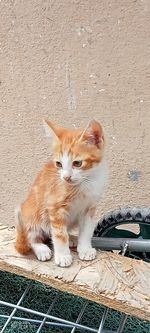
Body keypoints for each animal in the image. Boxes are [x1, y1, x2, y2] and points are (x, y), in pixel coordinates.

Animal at [15, 119, 108, 268]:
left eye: (77, 163)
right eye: (59, 164)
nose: (66, 177)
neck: (84, 183)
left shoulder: (90, 207)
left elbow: (86, 230)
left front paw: (85, 249)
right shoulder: (54, 206)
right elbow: (59, 234)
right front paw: (63, 256)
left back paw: (72, 239)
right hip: (31, 214)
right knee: (31, 238)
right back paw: (41, 249)